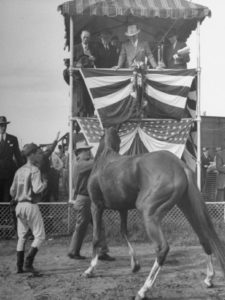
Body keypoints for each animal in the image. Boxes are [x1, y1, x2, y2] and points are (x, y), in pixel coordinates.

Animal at [83, 127, 225, 300]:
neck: (104, 160)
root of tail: (179, 165)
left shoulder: (96, 206)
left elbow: (96, 237)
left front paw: (90, 270)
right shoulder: (122, 209)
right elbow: (124, 232)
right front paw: (135, 265)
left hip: (149, 212)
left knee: (162, 248)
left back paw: (143, 290)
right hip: (188, 207)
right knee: (204, 238)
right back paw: (209, 278)